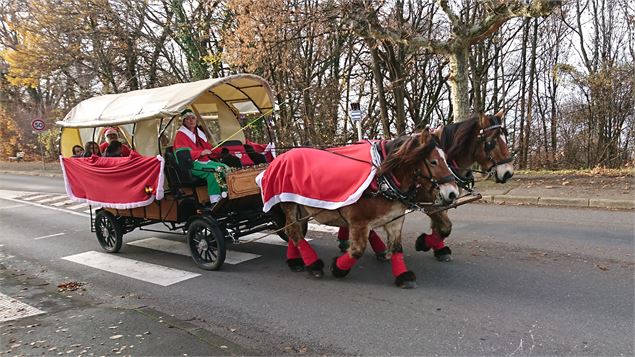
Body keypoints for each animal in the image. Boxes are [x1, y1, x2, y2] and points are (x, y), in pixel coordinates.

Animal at [278, 129, 458, 288]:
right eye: (433, 162)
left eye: (447, 159)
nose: (453, 193)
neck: (382, 180)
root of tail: (283, 155)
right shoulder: (359, 223)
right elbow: (357, 250)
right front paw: (337, 268)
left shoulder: (394, 220)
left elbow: (396, 248)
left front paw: (403, 276)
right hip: (289, 204)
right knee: (293, 230)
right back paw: (313, 264)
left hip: (303, 208)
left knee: (294, 231)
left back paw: (296, 261)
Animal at [414, 110, 516, 260]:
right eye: (491, 142)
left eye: (506, 139)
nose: (508, 173)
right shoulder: (427, 200)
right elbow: (445, 227)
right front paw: (424, 243)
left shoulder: (444, 199)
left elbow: (440, 226)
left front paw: (439, 248)